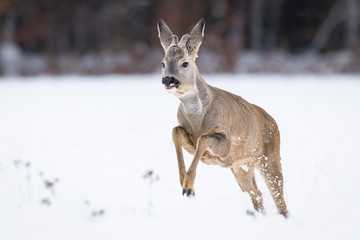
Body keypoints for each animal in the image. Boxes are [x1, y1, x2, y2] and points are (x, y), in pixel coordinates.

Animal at [159, 18, 288, 217]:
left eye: (185, 63)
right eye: (163, 63)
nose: (168, 80)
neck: (198, 119)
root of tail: (273, 121)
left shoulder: (225, 144)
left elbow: (204, 139)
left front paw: (188, 187)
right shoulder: (190, 141)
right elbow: (176, 131)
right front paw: (186, 184)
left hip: (270, 156)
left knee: (279, 198)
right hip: (241, 166)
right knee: (256, 193)